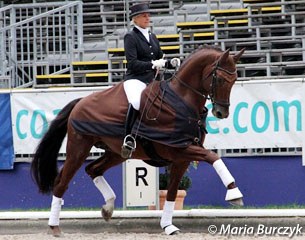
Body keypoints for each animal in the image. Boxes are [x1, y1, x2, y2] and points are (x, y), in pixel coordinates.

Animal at [30, 45, 245, 236]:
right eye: (220, 78)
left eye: (234, 79)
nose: (222, 112)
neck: (181, 102)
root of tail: (80, 102)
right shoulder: (179, 149)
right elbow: (213, 157)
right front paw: (234, 193)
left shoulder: (182, 157)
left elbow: (173, 192)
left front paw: (168, 226)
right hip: (78, 149)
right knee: (61, 183)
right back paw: (54, 227)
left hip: (116, 153)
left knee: (93, 169)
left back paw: (108, 208)